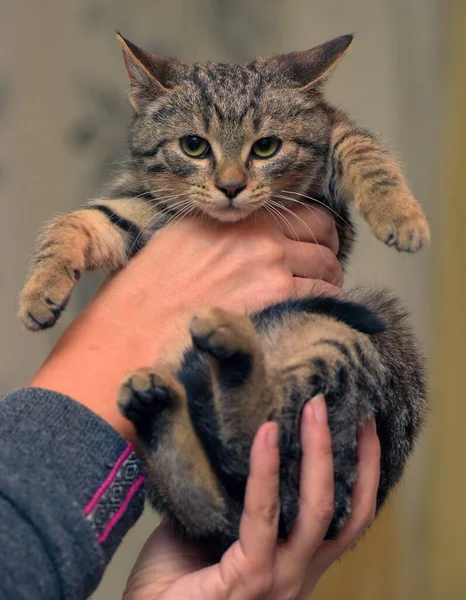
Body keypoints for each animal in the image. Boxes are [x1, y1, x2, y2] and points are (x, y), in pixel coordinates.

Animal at [20, 32, 430, 556]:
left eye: (267, 147)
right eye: (194, 146)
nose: (231, 186)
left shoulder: (331, 152)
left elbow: (363, 150)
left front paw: (401, 215)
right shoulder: (138, 207)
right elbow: (76, 222)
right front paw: (40, 292)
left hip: (362, 328)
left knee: (258, 438)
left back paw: (227, 350)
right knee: (229, 475)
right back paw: (165, 398)